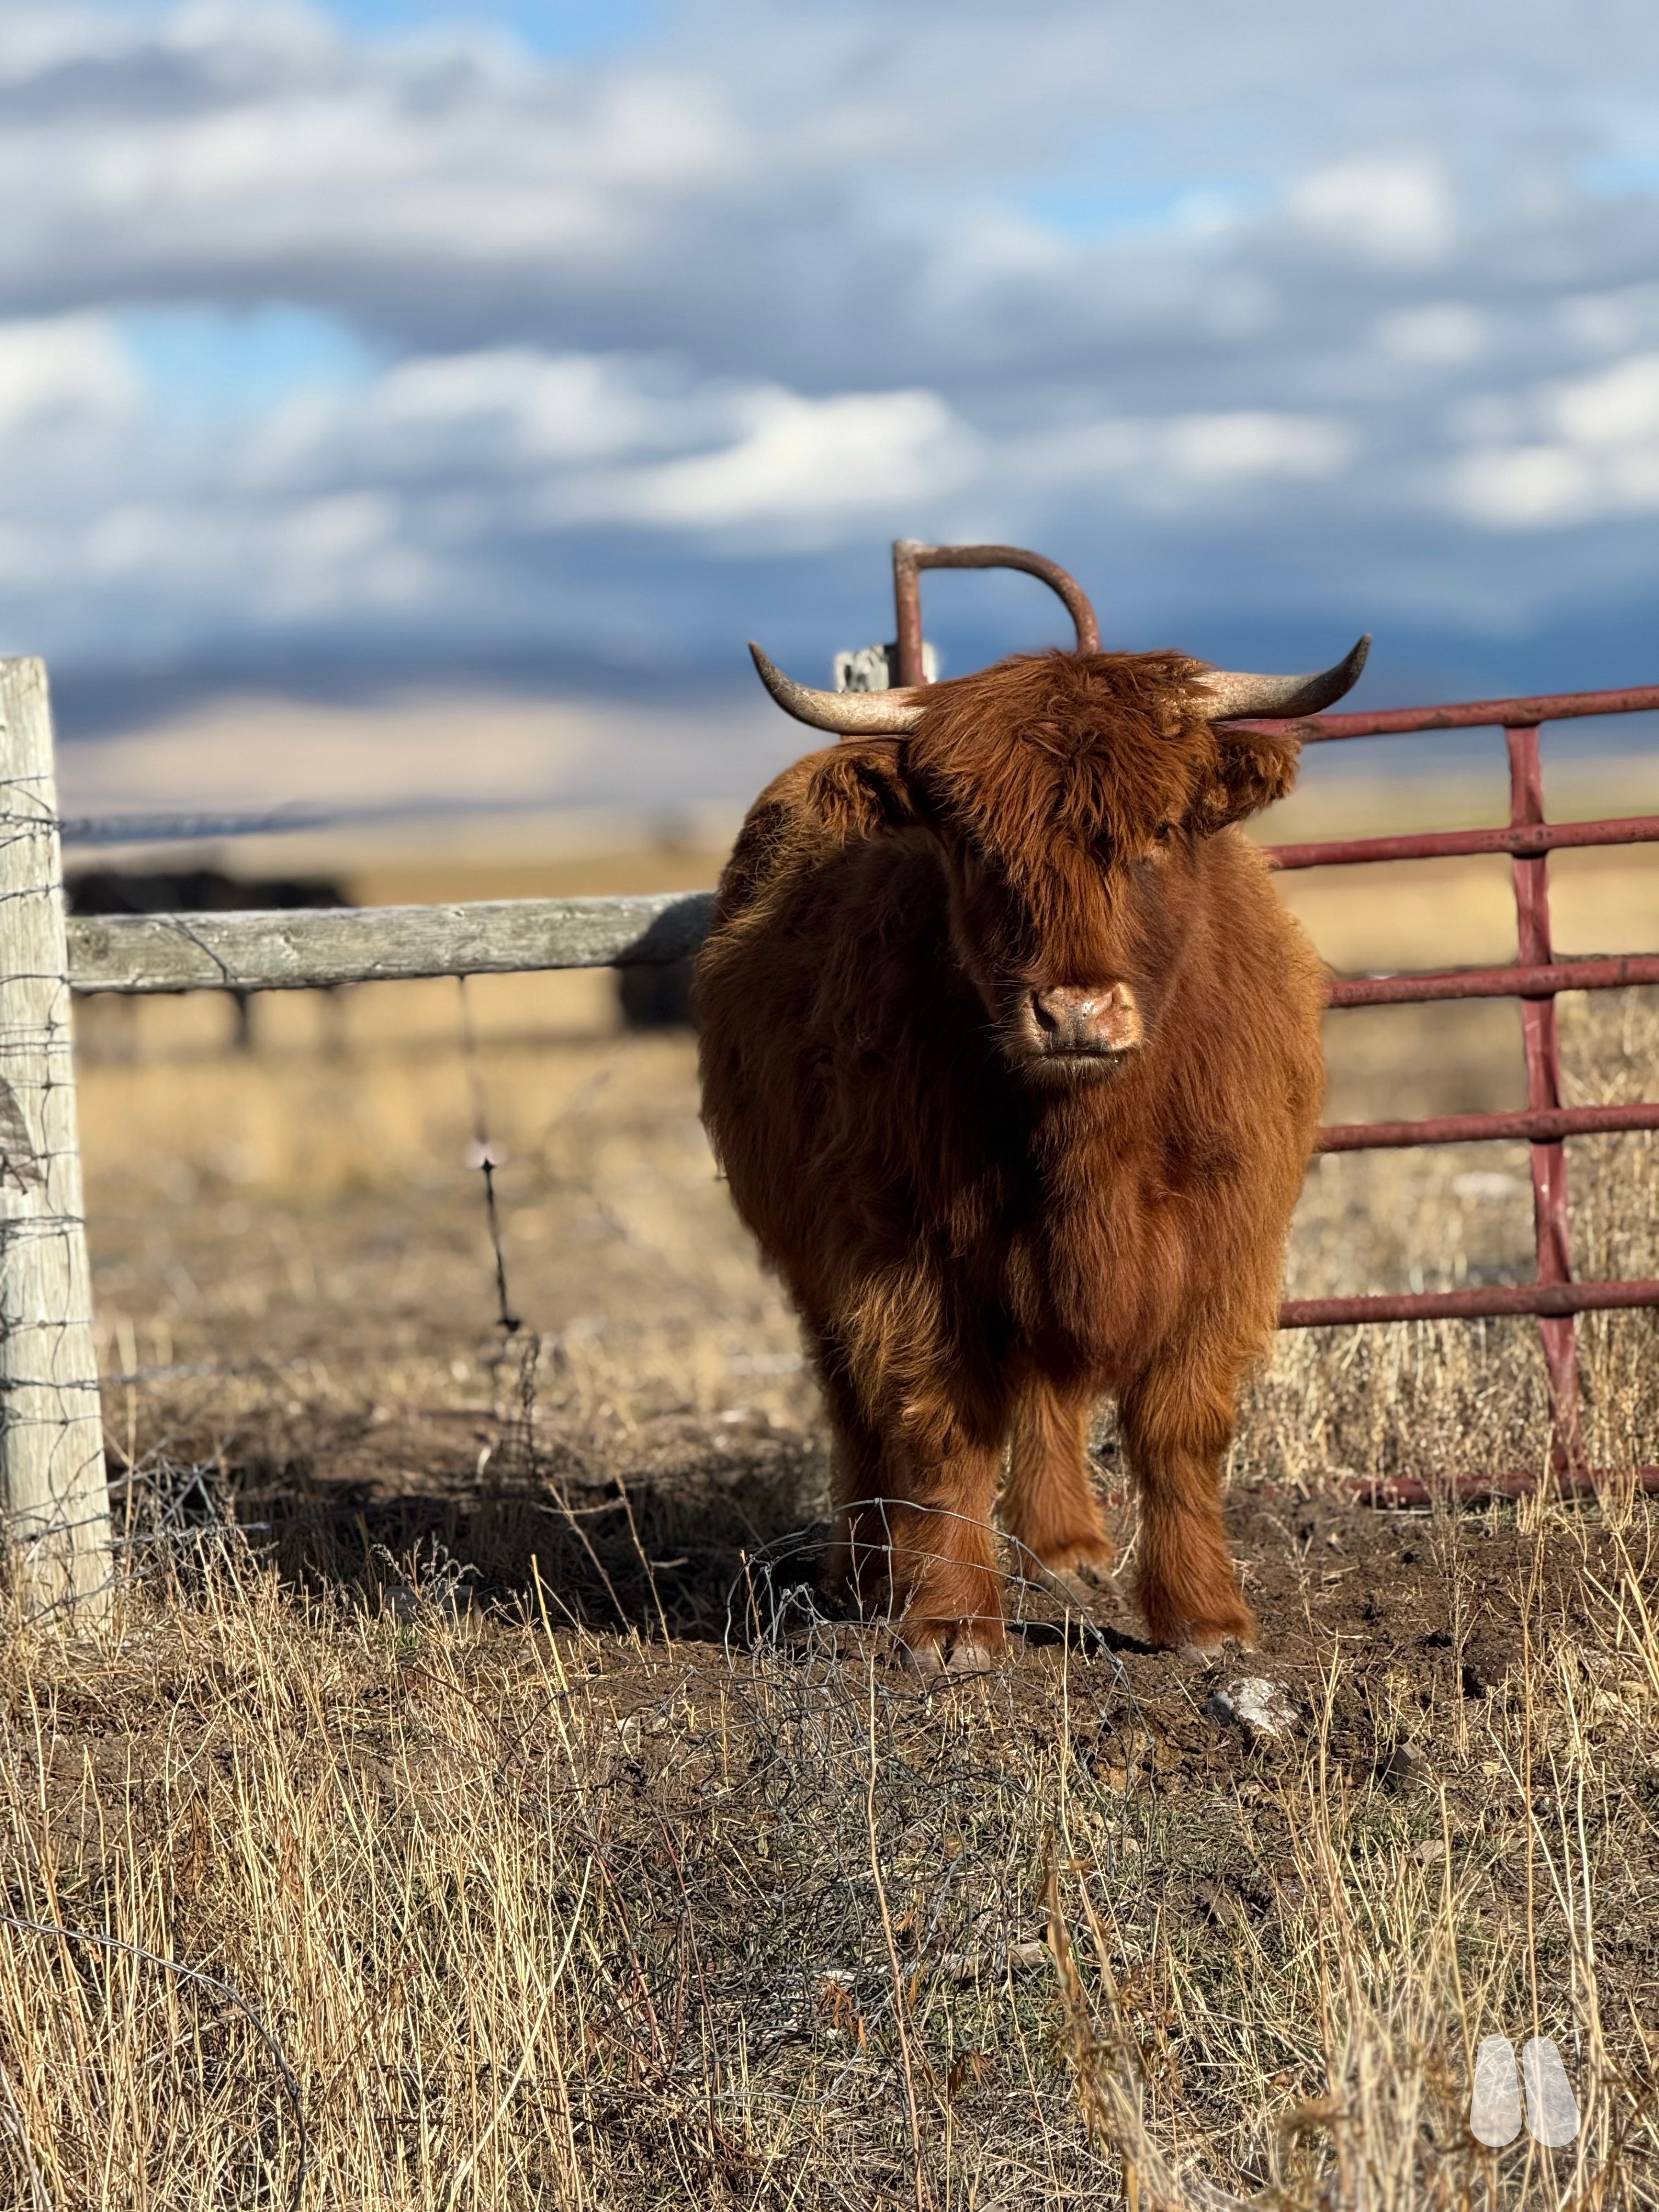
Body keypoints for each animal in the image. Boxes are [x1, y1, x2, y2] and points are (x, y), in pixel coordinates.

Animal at [693, 632, 1368, 1663]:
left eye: (1160, 827)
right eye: (975, 844)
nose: (1075, 1012)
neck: (1090, 1146)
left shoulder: (1227, 1242)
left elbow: (1180, 1427)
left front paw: (1203, 1616)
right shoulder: (897, 1251)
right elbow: (941, 1424)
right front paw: (950, 1619)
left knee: (1047, 1393)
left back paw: (1062, 1543)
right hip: (812, 1257)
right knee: (854, 1406)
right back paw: (863, 1571)